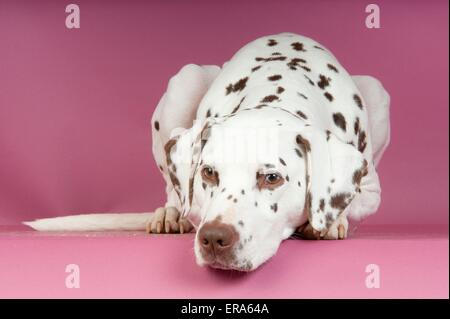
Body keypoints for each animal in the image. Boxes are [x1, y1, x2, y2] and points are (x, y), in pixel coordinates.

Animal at [25, 33, 390, 272]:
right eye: (209, 172)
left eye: (272, 178)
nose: (214, 239)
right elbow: (185, 194)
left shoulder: (370, 189)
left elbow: (351, 200)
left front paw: (330, 220)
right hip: (184, 82)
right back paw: (170, 213)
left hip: (376, 90)